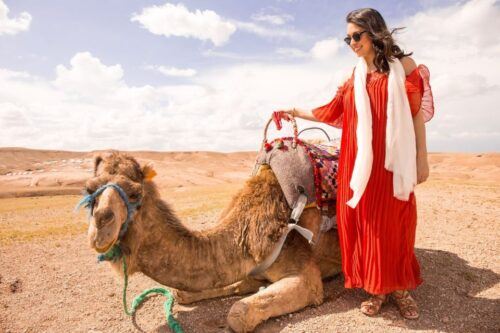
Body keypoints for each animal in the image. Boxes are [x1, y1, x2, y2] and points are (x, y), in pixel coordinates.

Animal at [86, 152, 342, 330]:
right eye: (89, 190)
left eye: (135, 194)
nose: (101, 224)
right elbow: (184, 292)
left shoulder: (306, 275)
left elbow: (238, 314)